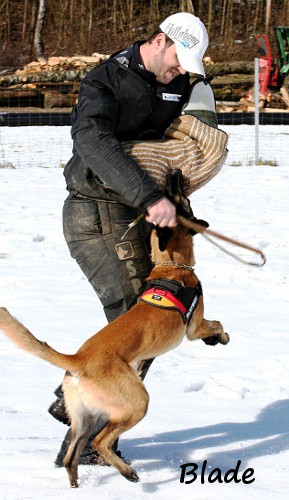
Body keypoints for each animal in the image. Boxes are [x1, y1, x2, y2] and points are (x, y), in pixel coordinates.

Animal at [0, 173, 230, 488]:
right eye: (178, 197)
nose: (173, 176)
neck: (171, 265)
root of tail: (78, 360)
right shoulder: (194, 326)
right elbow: (216, 324)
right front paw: (221, 338)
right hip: (137, 402)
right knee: (101, 441)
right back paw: (128, 473)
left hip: (84, 419)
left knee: (72, 455)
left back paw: (77, 484)